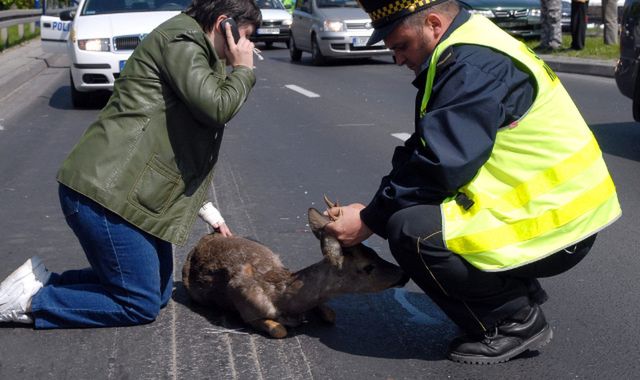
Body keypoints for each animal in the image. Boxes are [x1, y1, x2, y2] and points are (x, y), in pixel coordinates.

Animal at [182, 200, 408, 336]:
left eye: (376, 253)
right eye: (368, 267)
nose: (403, 274)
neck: (283, 298)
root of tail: (204, 238)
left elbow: (330, 314)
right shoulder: (247, 308)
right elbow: (279, 330)